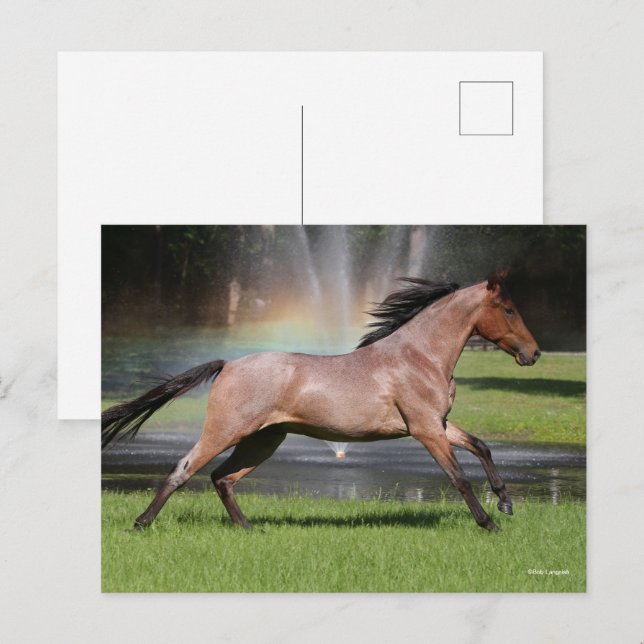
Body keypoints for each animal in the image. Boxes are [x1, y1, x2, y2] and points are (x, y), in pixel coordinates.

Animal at [102, 271, 540, 532]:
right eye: (508, 309)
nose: (533, 353)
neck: (419, 355)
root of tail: (228, 364)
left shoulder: (439, 424)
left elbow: (481, 446)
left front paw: (506, 504)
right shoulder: (426, 429)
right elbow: (459, 477)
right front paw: (490, 523)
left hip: (263, 440)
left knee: (222, 478)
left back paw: (249, 529)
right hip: (226, 431)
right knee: (185, 469)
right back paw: (141, 523)